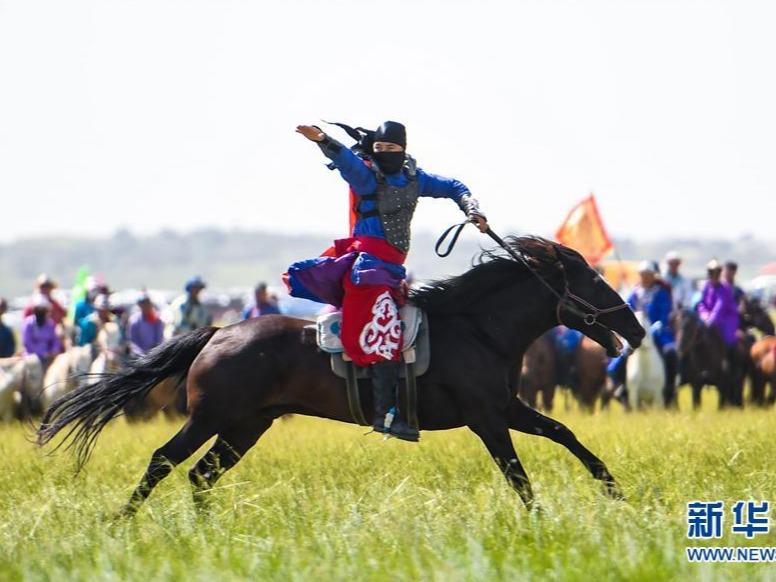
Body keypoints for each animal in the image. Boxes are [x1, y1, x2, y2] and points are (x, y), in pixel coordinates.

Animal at [38, 237, 644, 516]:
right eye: (594, 279)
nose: (637, 330)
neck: (478, 328)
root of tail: (218, 332)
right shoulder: (487, 417)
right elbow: (518, 475)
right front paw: (542, 518)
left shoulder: (506, 407)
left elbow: (565, 434)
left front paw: (614, 490)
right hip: (212, 416)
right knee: (165, 460)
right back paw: (120, 521)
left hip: (246, 425)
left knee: (200, 475)